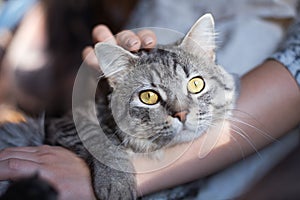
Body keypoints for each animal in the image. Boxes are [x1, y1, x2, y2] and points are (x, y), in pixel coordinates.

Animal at [0, 13, 239, 199]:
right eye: (149, 97)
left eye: (196, 84)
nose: (181, 113)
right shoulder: (68, 120)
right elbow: (103, 142)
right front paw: (117, 183)